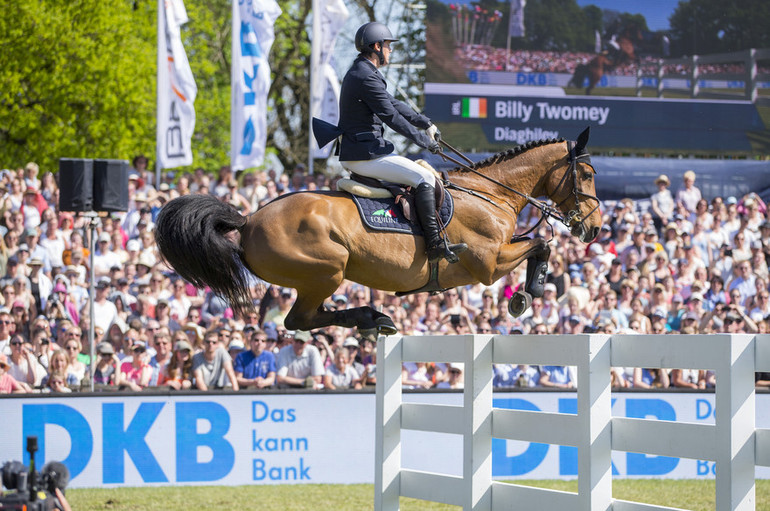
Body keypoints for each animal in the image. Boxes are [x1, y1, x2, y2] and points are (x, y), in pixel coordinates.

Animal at [154, 128, 600, 336]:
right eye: (588, 174)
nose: (594, 229)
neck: (488, 193)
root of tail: (247, 221)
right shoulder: (488, 265)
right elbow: (541, 243)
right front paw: (530, 292)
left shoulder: (496, 256)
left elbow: (539, 243)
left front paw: (529, 290)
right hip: (327, 270)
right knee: (299, 320)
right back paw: (372, 316)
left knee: (307, 318)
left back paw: (374, 319)